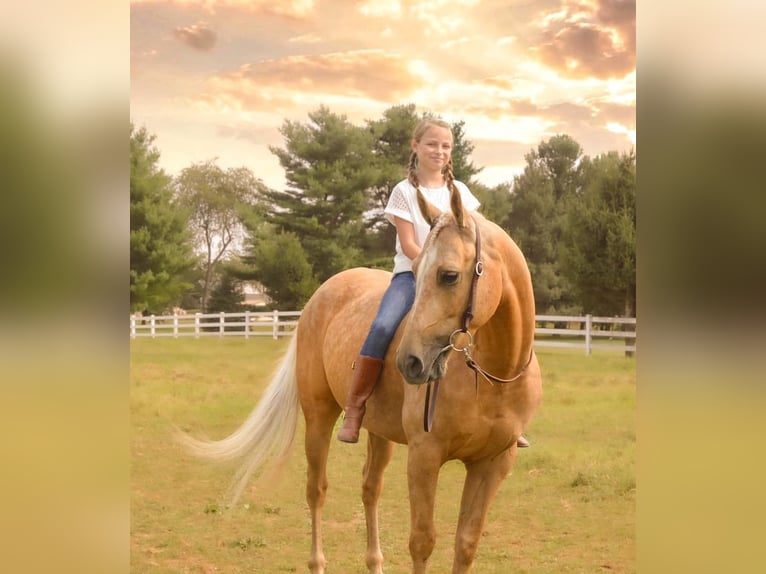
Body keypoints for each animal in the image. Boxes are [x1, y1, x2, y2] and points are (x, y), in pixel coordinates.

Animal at [182, 191, 544, 572]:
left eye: (448, 275)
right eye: (417, 270)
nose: (409, 362)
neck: (493, 380)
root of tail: (320, 295)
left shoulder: (493, 463)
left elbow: (466, 544)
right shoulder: (424, 457)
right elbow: (422, 542)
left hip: (379, 432)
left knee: (370, 489)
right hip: (319, 417)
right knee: (316, 489)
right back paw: (317, 562)